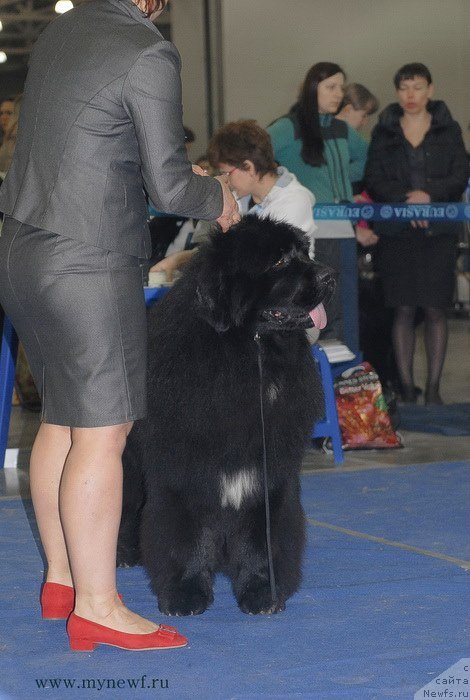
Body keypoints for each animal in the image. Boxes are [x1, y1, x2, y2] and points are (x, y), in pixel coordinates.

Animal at [119, 216, 336, 616]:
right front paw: (186, 594)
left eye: (305, 251)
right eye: (279, 261)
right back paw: (125, 553)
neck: (248, 358)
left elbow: (260, 539)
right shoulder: (184, 473)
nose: (329, 275)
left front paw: (262, 592)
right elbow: (186, 540)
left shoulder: (267, 472)